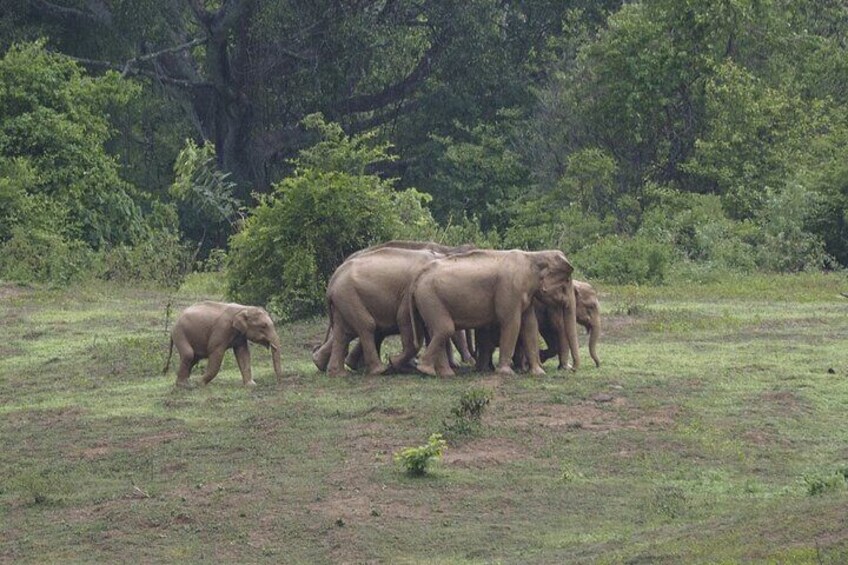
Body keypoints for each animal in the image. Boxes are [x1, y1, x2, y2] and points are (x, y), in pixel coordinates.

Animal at [408, 249, 580, 376]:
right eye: (566, 283)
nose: (572, 369)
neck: (532, 256)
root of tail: (418, 277)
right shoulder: (510, 289)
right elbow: (512, 323)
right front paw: (506, 373)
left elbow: (530, 326)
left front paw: (539, 373)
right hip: (430, 297)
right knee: (445, 328)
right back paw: (426, 370)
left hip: (429, 300)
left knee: (437, 331)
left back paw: (444, 373)